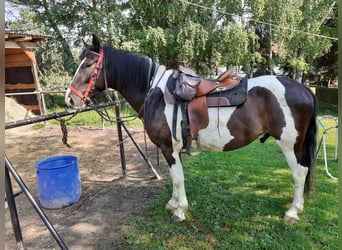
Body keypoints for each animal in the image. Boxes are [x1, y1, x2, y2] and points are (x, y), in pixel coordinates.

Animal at [65, 34, 316, 224]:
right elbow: (175, 177)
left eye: (88, 64)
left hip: (289, 144)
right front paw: (173, 203)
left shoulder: (169, 148)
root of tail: (304, 89)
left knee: (300, 172)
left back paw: (293, 212)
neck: (154, 93)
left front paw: (179, 211)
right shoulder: (171, 150)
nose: (70, 99)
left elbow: (177, 178)